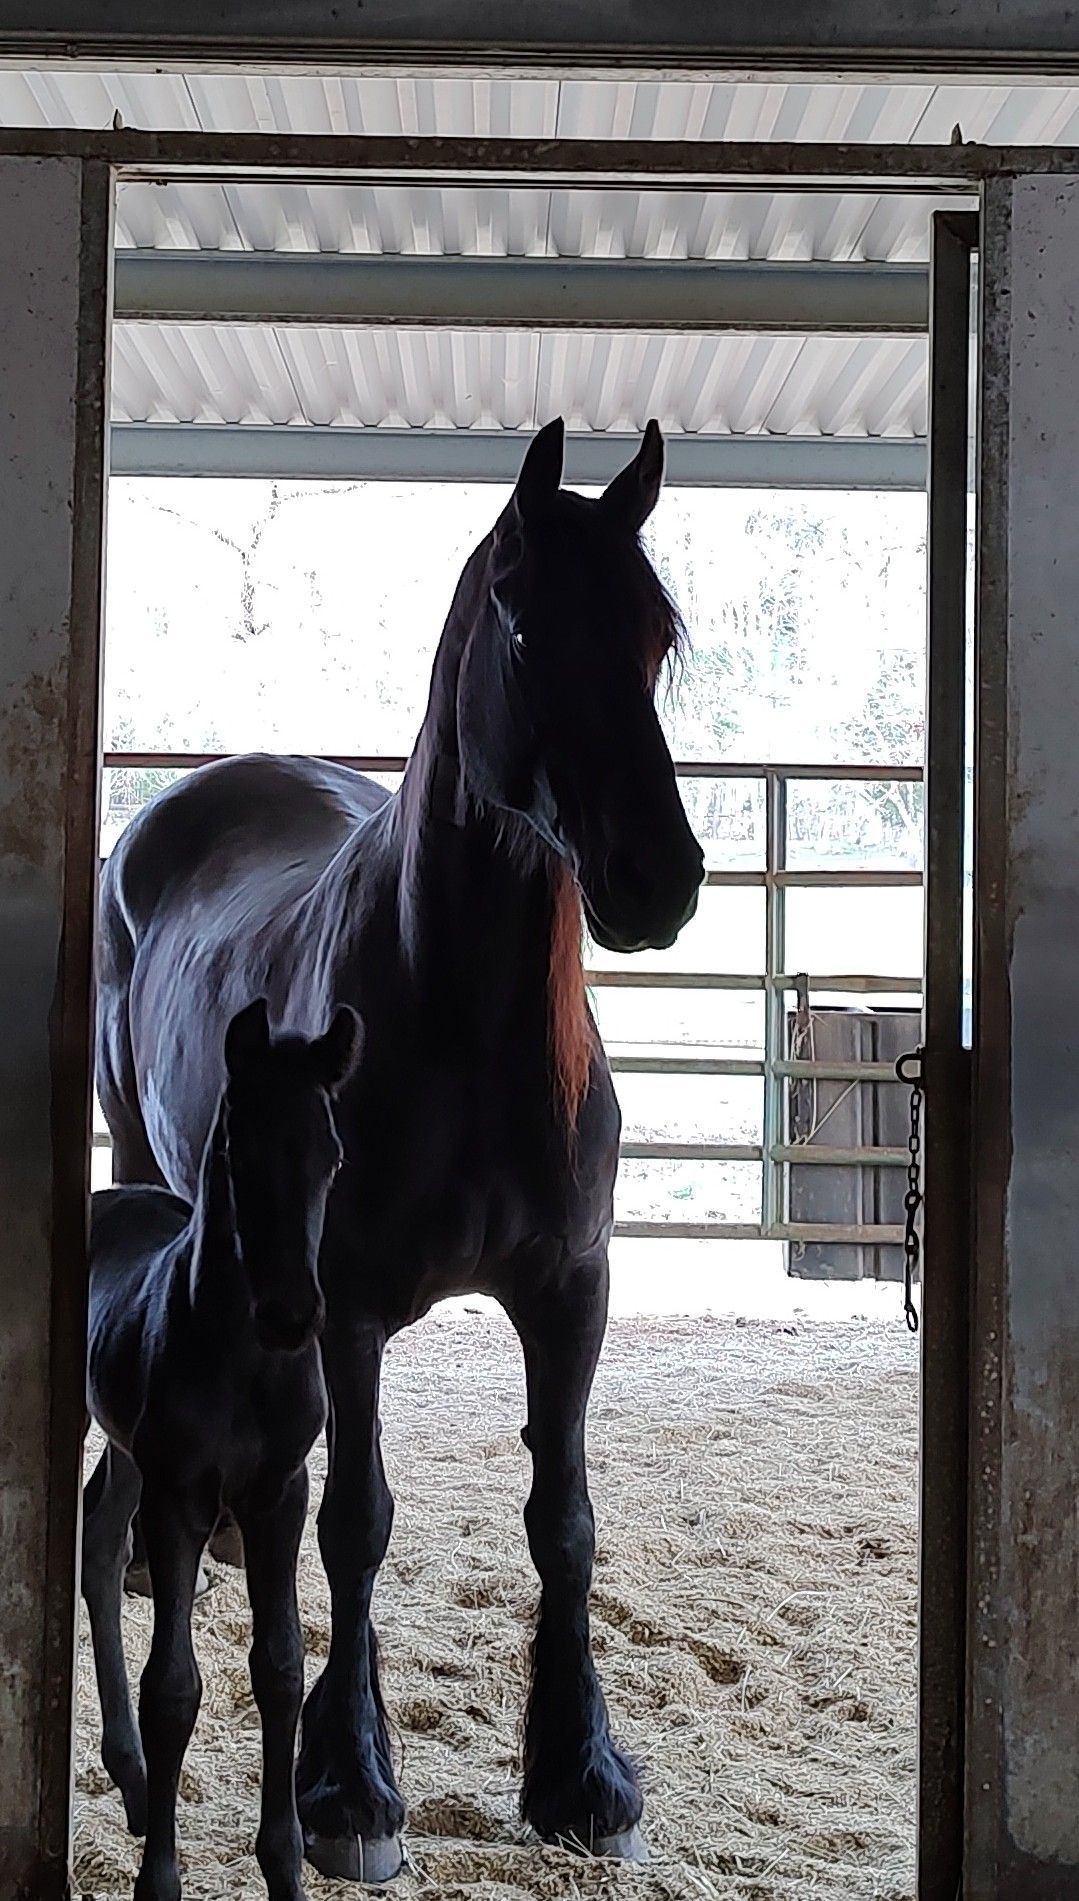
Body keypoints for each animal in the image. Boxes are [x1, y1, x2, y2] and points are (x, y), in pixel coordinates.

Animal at [83, 999, 360, 1901]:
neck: (244, 1361)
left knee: (100, 1539)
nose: (290, 1313)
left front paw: (285, 1866)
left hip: (129, 1452)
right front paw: (159, 1881)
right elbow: (172, 1687)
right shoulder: (182, 1495)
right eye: (238, 1146)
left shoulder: (280, 1493)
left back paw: (135, 1781)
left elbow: (280, 1667)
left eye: (331, 1154)